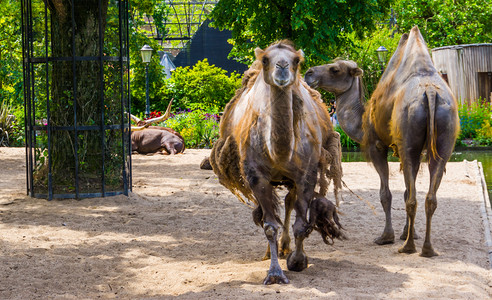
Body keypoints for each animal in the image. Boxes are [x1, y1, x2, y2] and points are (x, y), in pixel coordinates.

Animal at [209, 39, 344, 284]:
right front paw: (274, 273)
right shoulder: (256, 177)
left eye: (297, 61)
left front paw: (298, 260)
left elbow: (301, 224)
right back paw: (271, 251)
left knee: (289, 202)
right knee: (267, 213)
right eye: (265, 59)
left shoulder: (306, 175)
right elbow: (269, 225)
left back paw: (285, 247)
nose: (282, 67)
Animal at [304, 27, 462, 256]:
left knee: (412, 198)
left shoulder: (377, 146)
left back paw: (408, 247)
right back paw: (427, 248)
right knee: (430, 195)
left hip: (409, 139)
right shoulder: (412, 151)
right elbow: (406, 190)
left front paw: (387, 237)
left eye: (335, 69)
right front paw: (408, 232)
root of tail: (430, 91)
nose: (308, 73)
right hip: (443, 138)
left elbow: (386, 194)